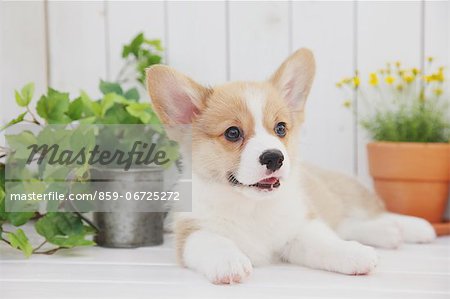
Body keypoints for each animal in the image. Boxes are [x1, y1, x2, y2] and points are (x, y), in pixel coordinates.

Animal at [147, 49, 436, 286]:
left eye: (280, 128)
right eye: (232, 133)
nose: (274, 158)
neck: (252, 206)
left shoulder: (299, 228)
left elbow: (325, 243)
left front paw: (351, 253)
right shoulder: (190, 233)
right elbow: (213, 241)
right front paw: (229, 262)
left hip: (344, 194)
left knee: (367, 214)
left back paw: (413, 227)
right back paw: (389, 233)